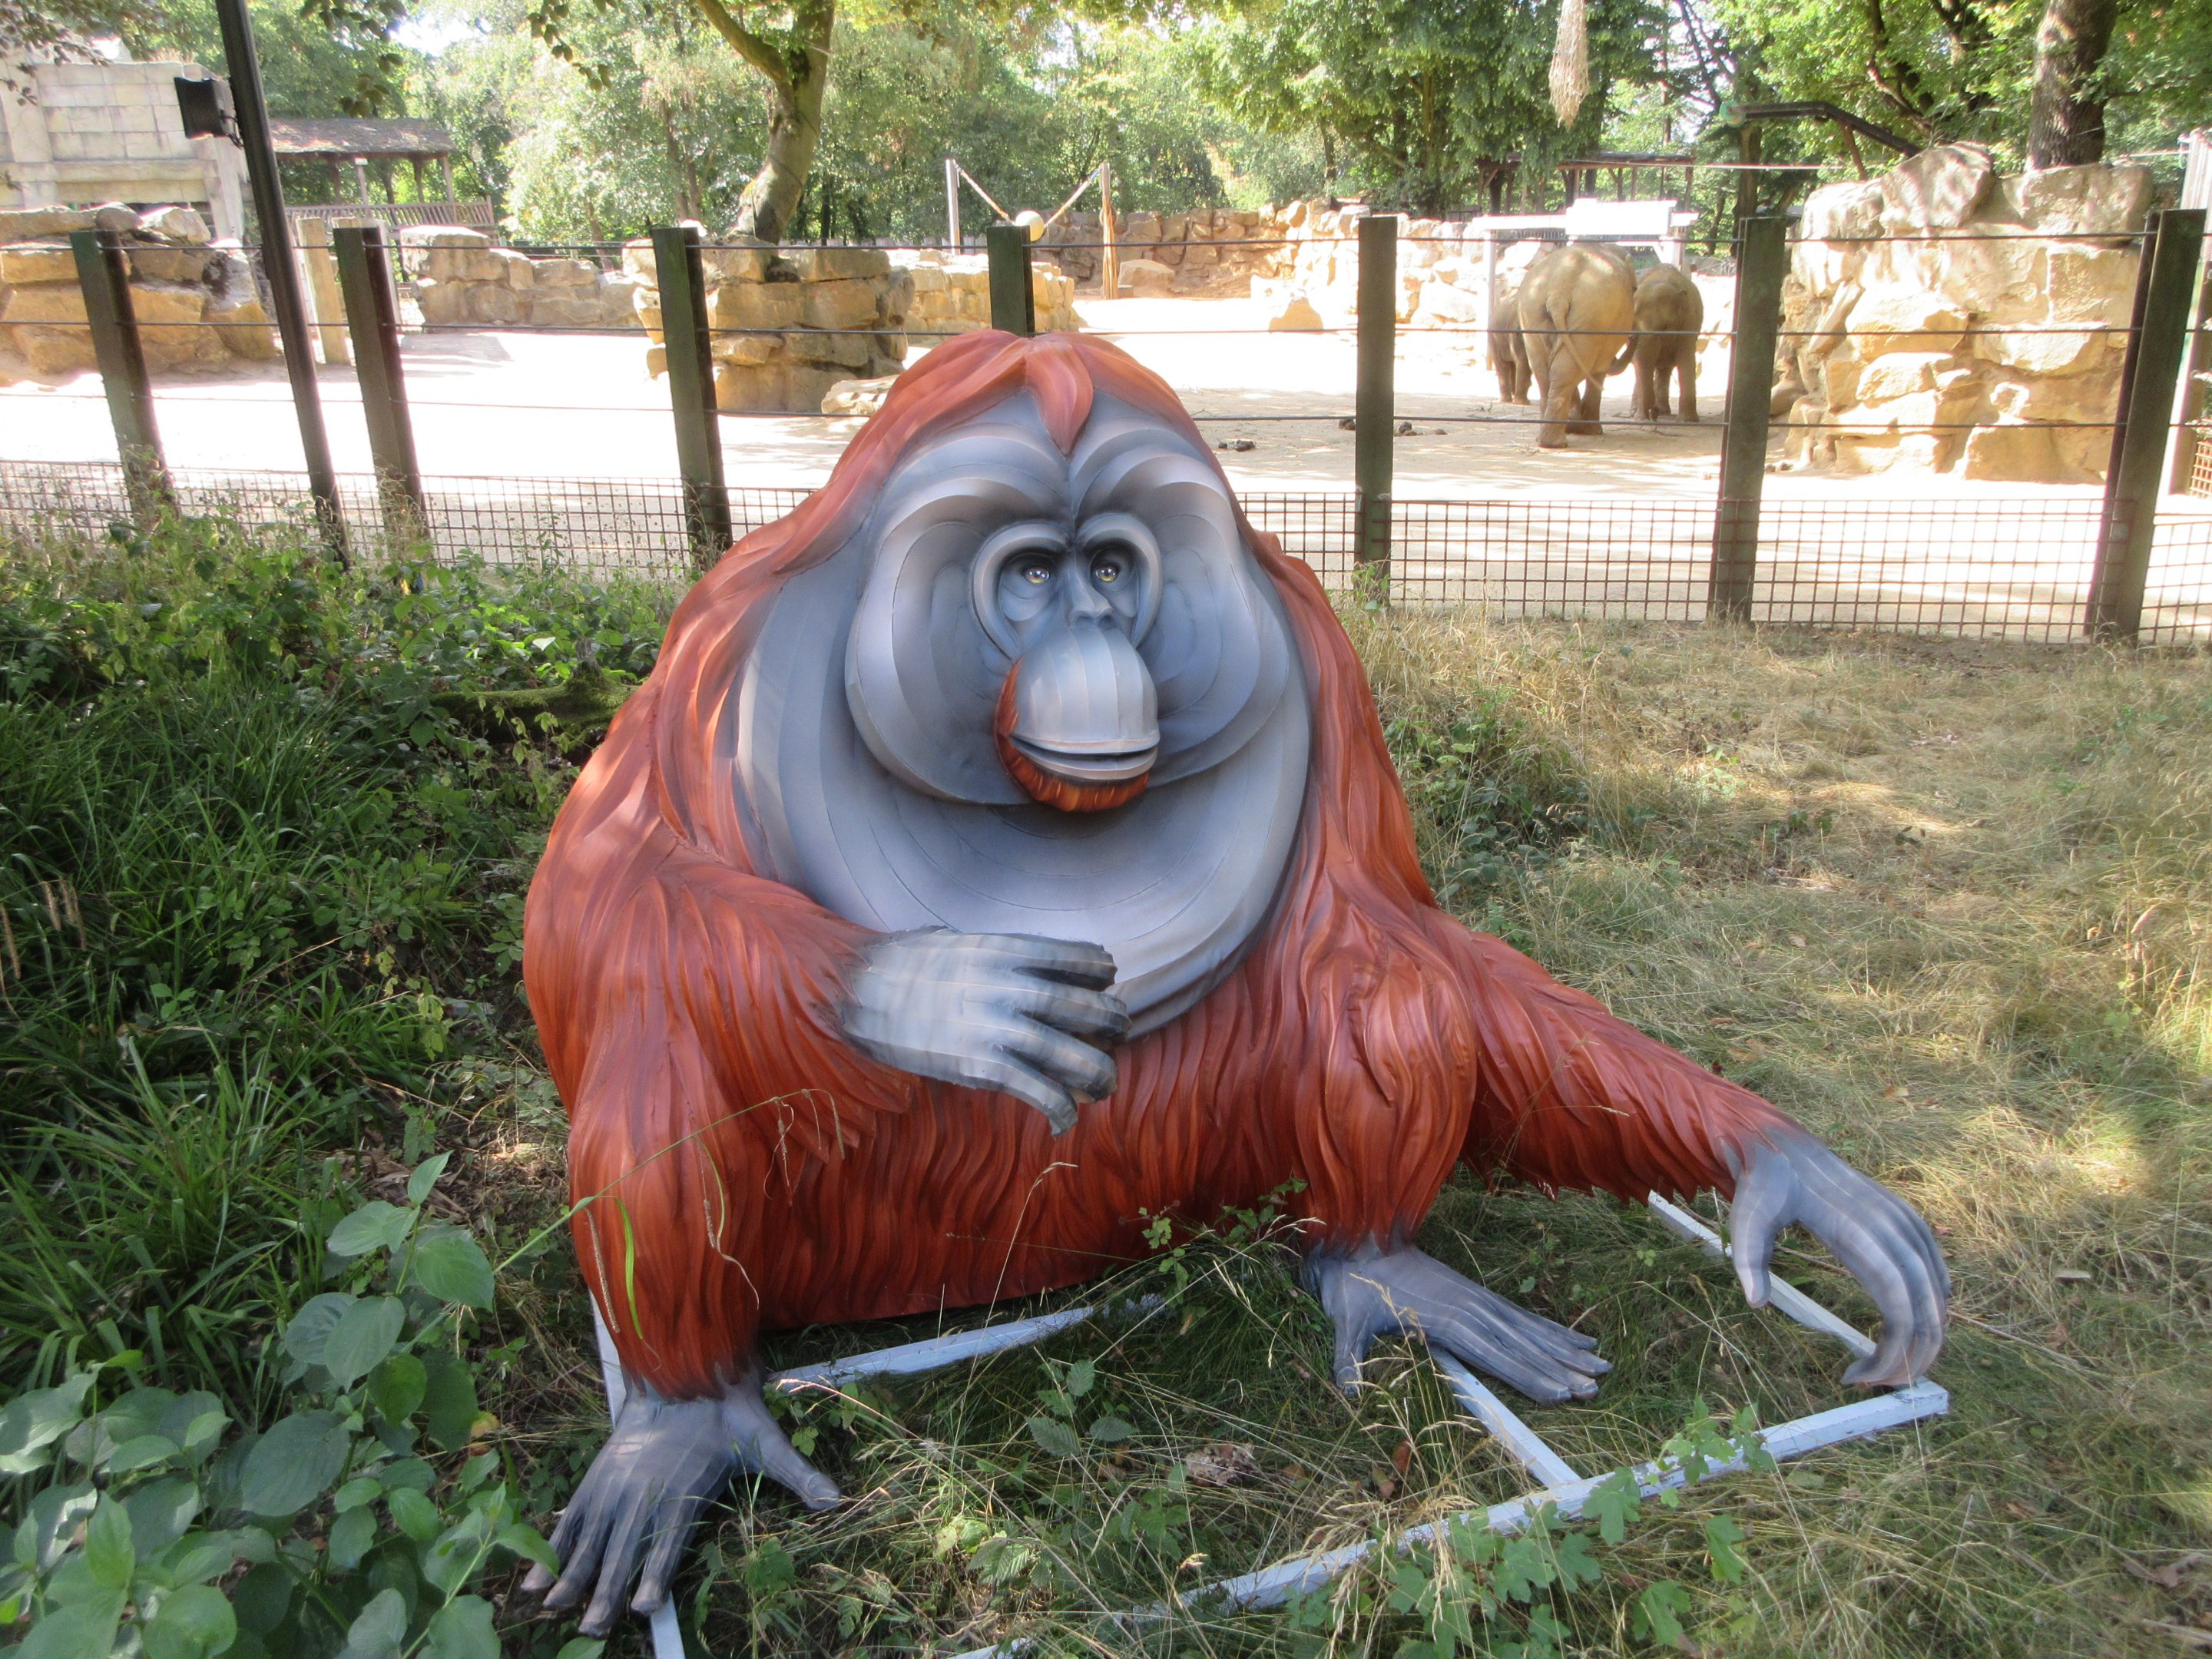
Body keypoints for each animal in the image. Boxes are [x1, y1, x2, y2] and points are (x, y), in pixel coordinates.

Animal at [1516, 242, 1635, 447]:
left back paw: (1547, 440)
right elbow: (1598, 370)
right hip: (1592, 316)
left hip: (1533, 311)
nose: (1633, 336)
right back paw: (1558, 442)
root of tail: (1559, 287)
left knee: (1545, 371)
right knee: (1566, 371)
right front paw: (1590, 430)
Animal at [1623, 262, 1703, 423]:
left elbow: (1686, 358)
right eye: (1631, 326)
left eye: (1664, 327)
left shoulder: (1690, 321)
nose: (1652, 414)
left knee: (1665, 367)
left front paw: (1688, 421)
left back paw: (1663, 411)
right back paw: (1637, 412)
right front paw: (1640, 418)